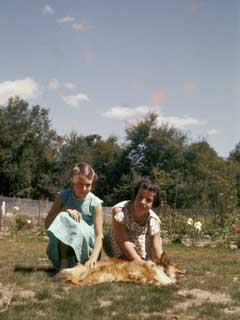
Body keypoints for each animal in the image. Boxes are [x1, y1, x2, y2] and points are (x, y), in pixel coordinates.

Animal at [55, 252, 186, 288]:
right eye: (177, 265)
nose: (187, 270)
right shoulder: (145, 271)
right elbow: (151, 277)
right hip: (98, 274)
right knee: (74, 280)